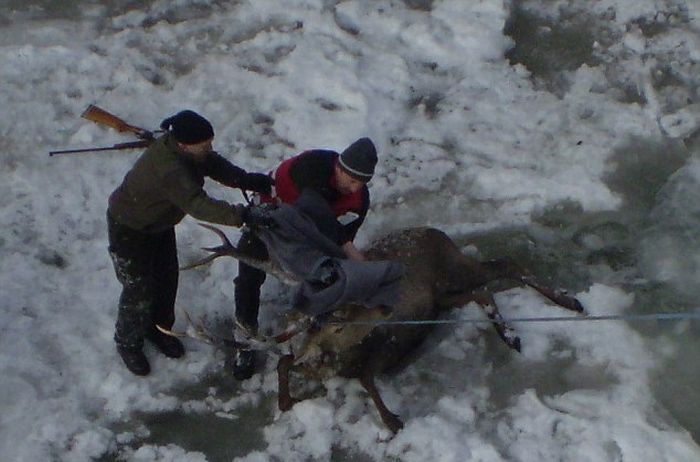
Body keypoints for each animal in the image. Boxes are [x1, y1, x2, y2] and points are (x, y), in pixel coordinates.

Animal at [171, 223, 584, 434]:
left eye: (353, 306)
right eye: (337, 321)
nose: (386, 307)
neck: (331, 360)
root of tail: (435, 231)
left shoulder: (382, 345)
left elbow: (368, 380)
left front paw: (392, 419)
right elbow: (287, 363)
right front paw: (286, 400)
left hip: (451, 270)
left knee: (504, 265)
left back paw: (564, 305)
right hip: (444, 293)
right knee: (488, 285)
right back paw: (517, 331)